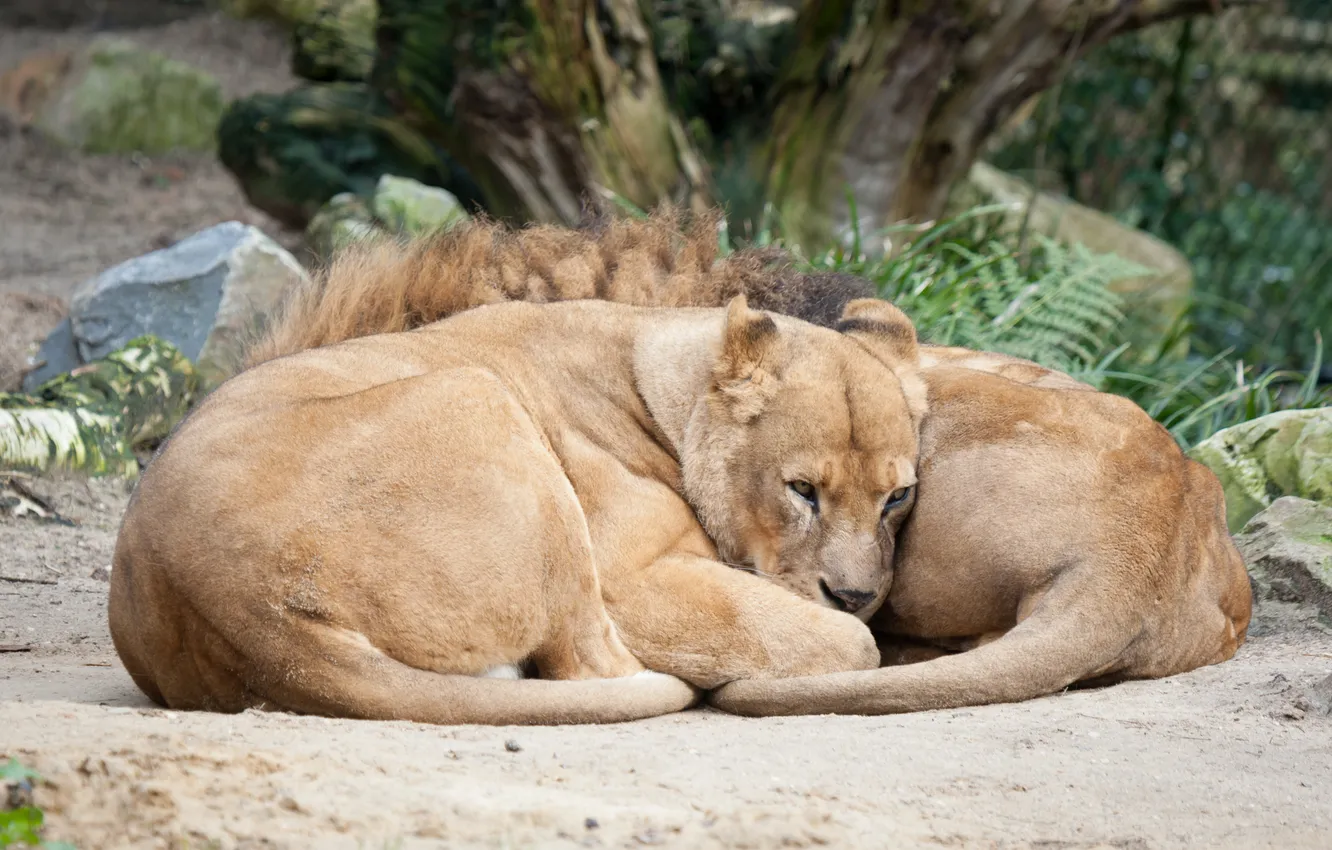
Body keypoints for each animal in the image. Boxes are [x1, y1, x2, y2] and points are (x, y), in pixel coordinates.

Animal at [108, 225, 928, 725]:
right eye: (802, 491)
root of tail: (259, 626)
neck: (659, 381)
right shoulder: (631, 579)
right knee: (587, 664)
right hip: (482, 399)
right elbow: (844, 643)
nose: (857, 595)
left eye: (898, 497)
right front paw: (841, 631)